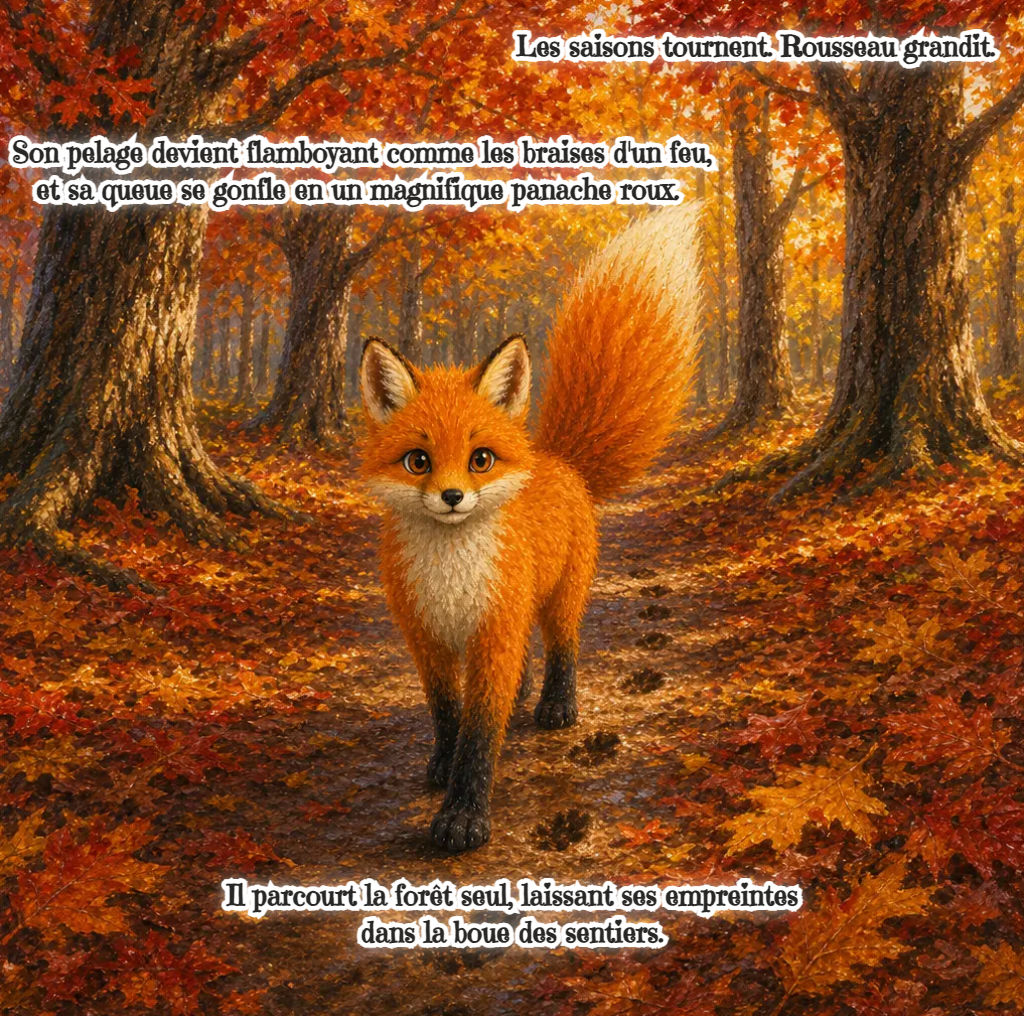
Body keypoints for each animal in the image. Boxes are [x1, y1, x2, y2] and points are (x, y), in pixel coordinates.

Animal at [358, 206, 701, 852]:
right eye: (417, 460)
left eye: (480, 459)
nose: (451, 497)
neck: (452, 577)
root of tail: (561, 458)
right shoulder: (425, 637)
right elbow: (447, 714)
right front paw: (441, 767)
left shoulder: (496, 628)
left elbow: (478, 736)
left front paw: (463, 816)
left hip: (559, 597)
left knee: (563, 646)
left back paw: (556, 707)